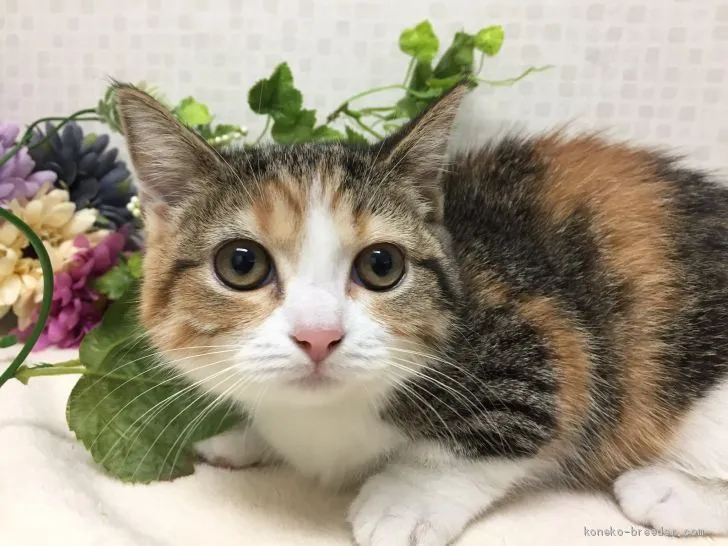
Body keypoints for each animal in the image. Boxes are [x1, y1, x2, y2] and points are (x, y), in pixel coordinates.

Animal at [114, 82, 728, 544]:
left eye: (382, 265)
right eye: (241, 264)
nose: (319, 336)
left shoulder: (549, 342)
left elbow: (494, 437)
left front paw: (405, 501)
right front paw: (243, 435)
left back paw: (669, 492)